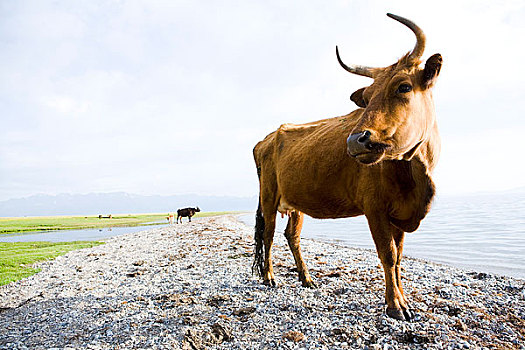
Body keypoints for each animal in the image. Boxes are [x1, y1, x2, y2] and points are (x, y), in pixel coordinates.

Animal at [252, 13, 440, 322]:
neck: (415, 178)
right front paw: (394, 305)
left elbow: (399, 257)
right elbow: (388, 254)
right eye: (368, 97)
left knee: (292, 236)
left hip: (295, 202)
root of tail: (268, 137)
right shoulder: (375, 208)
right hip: (268, 195)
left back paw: (306, 278)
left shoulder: (399, 213)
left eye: (403, 86)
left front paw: (402, 299)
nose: (355, 140)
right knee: (268, 233)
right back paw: (269, 277)